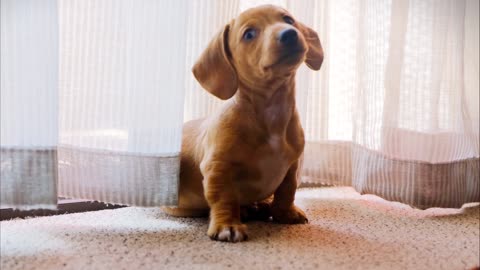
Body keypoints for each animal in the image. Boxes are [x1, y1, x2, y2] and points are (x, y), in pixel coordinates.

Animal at [163, 4, 324, 242]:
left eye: (288, 20)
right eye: (249, 34)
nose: (289, 33)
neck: (271, 113)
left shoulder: (292, 165)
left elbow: (287, 191)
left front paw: (285, 213)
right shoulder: (218, 167)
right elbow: (224, 198)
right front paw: (227, 225)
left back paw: (261, 206)